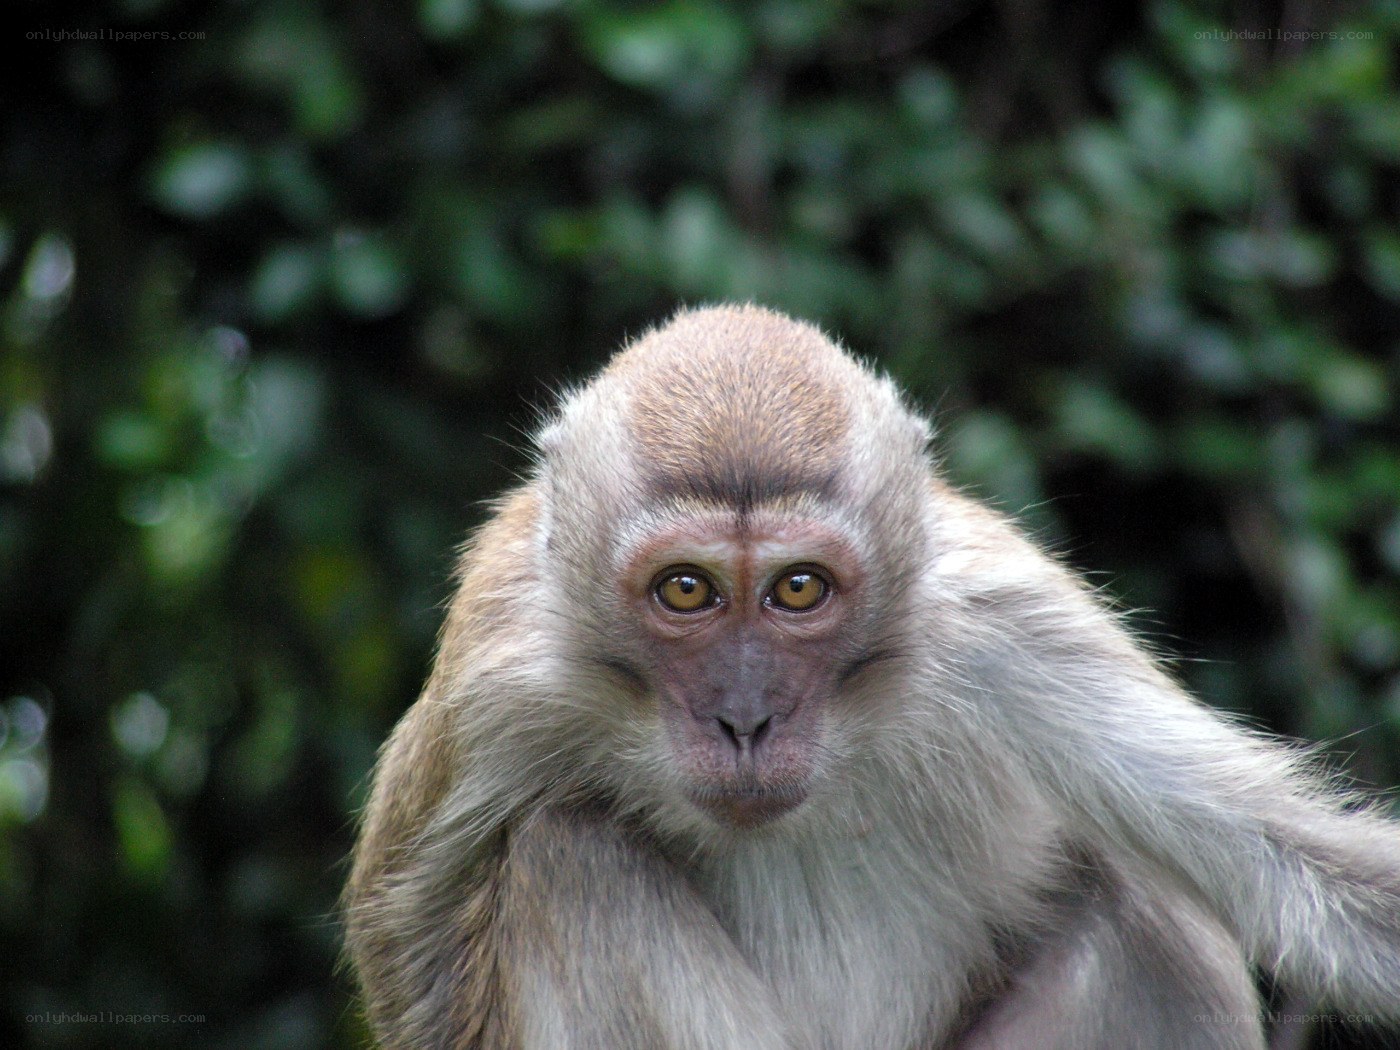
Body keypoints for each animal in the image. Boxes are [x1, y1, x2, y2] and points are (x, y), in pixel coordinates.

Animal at [344, 304, 1400, 1050]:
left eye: (798, 588)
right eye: (685, 589)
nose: (746, 719)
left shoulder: (1001, 627)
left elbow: (1300, 866)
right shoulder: (503, 679)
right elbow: (406, 943)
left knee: (1142, 905)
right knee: (574, 856)